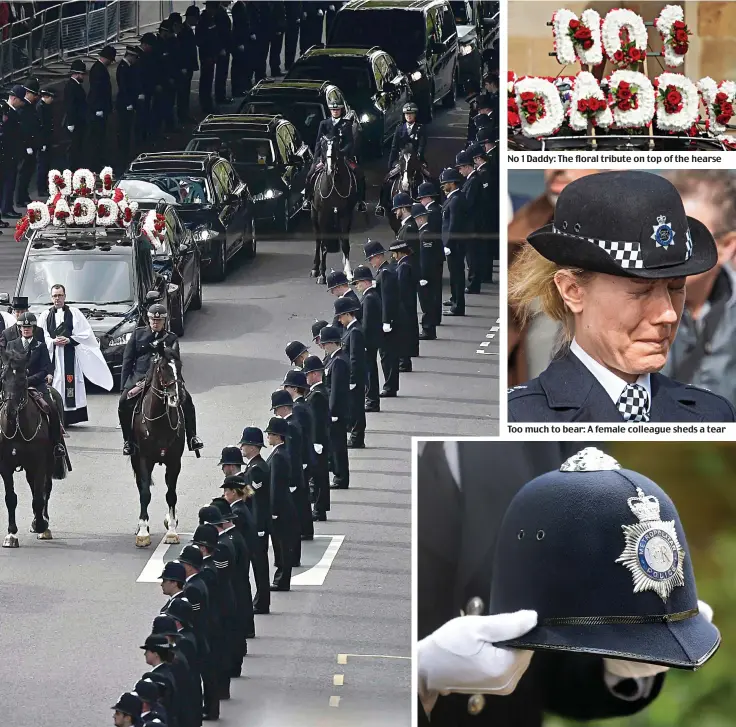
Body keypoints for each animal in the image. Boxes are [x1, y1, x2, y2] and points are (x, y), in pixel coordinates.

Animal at [0, 350, 67, 548]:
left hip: (48, 462)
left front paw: (41, 526)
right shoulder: (5, 466)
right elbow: (10, 498)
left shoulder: (39, 464)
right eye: (3, 378)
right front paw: (11, 534)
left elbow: (39, 497)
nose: (10, 411)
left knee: (45, 489)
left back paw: (43, 521)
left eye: (23, 379)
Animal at [129, 346, 187, 544]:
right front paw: (143, 531)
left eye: (179, 366)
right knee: (141, 486)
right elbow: (145, 493)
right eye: (162, 368)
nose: (178, 397)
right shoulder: (144, 460)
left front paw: (172, 530)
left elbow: (171, 494)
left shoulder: (175, 461)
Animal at [310, 135, 358, 282]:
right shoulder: (322, 215)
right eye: (323, 146)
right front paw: (322, 274)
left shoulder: (345, 214)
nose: (330, 168)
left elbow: (345, 243)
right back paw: (315, 269)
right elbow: (323, 243)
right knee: (318, 240)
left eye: (336, 146)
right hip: (314, 215)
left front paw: (348, 272)